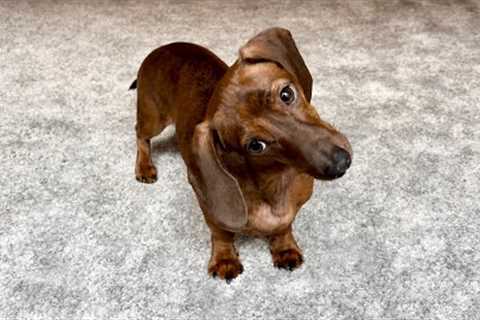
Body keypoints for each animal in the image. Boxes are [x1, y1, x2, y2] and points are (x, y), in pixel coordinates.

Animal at [129, 28, 350, 282]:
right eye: (256, 145)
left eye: (287, 94)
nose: (340, 162)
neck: (275, 181)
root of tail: (162, 48)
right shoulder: (207, 205)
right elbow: (221, 233)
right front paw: (225, 259)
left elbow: (284, 226)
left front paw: (284, 248)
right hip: (153, 118)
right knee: (140, 134)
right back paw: (144, 166)